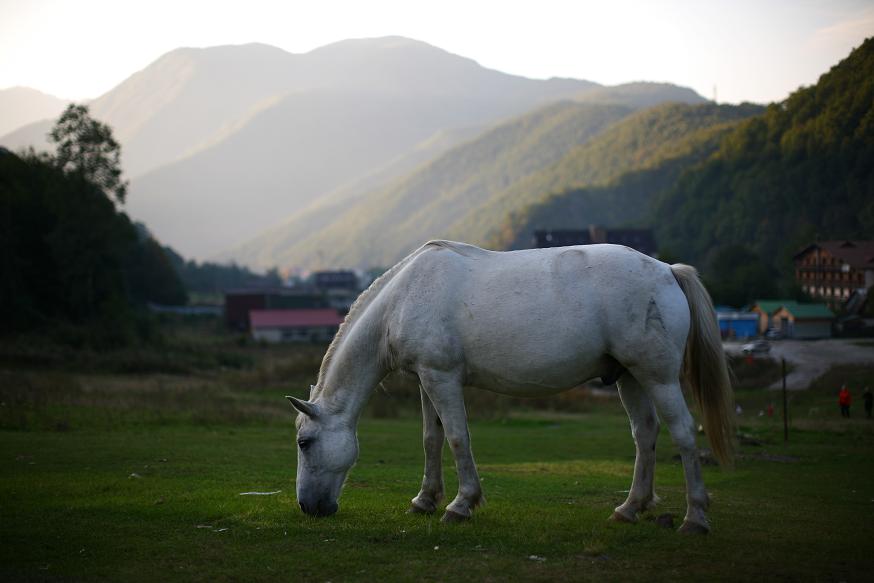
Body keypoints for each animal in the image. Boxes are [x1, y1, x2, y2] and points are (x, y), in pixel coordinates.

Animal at [286, 241, 728, 532]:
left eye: (304, 443)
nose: (308, 506)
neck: (404, 296)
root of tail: (667, 271)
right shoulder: (426, 380)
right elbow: (432, 439)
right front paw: (425, 500)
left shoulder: (442, 378)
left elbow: (458, 438)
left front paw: (461, 504)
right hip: (630, 378)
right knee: (645, 434)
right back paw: (630, 508)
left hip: (658, 377)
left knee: (684, 433)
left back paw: (695, 517)